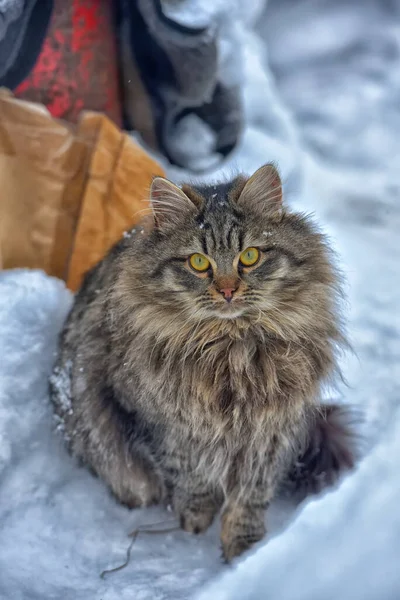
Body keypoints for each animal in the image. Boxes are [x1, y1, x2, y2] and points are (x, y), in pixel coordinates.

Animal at [50, 164, 356, 564]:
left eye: (250, 256)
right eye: (198, 262)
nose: (227, 290)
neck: (231, 348)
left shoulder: (271, 430)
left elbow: (251, 494)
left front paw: (244, 551)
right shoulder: (157, 421)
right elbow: (189, 473)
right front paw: (196, 519)